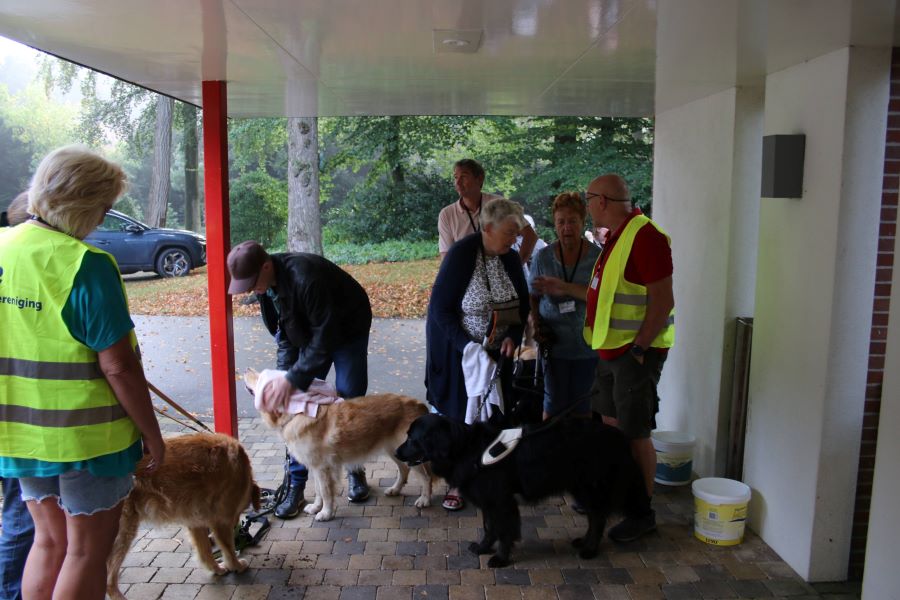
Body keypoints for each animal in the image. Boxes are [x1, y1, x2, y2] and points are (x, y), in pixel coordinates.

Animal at [107, 434, 260, 596]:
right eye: (240, 511)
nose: (238, 525)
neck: (242, 473)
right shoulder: (221, 521)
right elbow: (229, 550)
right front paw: (236, 565)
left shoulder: (196, 522)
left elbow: (205, 552)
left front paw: (216, 569)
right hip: (123, 532)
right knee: (109, 579)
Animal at [244, 366, 430, 520]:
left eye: (260, 378)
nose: (246, 370)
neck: (297, 413)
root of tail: (419, 404)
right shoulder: (315, 467)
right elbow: (318, 490)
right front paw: (316, 508)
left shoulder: (323, 467)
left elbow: (326, 492)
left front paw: (325, 513)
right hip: (396, 451)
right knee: (404, 470)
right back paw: (395, 489)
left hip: (410, 452)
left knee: (426, 477)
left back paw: (425, 499)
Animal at [398, 412, 652, 568]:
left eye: (412, 438)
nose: (398, 453)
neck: (466, 449)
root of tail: (618, 436)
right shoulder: (488, 500)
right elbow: (489, 527)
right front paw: (483, 547)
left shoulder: (501, 501)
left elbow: (504, 531)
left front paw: (500, 558)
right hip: (581, 488)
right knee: (593, 517)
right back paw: (583, 542)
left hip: (590, 487)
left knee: (598, 519)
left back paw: (589, 550)